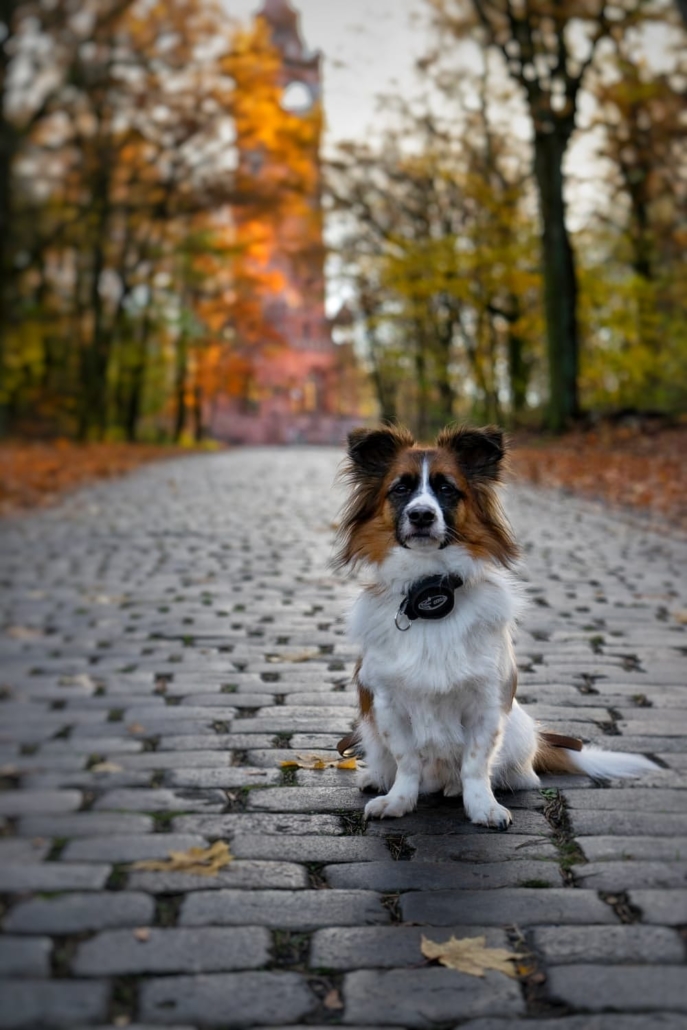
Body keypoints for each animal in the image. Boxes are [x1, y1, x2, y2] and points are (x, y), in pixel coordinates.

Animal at [335, 424, 659, 828]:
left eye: (447, 489)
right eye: (400, 489)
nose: (422, 515)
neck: (430, 592)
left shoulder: (486, 704)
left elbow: (475, 764)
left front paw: (481, 806)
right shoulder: (388, 705)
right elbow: (407, 761)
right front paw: (398, 800)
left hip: (517, 729)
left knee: (516, 775)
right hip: (369, 726)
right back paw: (378, 777)